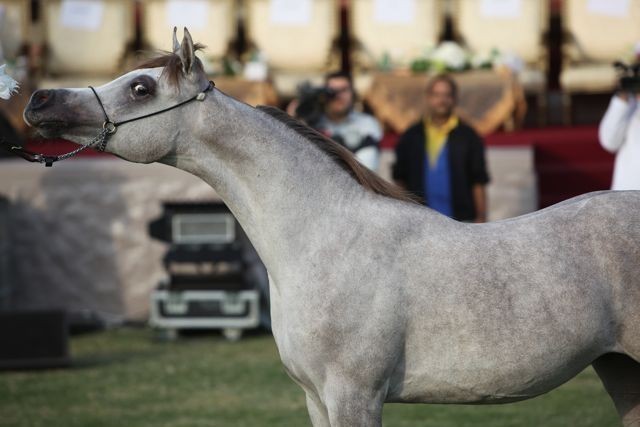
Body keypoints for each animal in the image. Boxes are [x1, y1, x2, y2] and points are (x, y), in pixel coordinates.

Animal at [23, 28, 640, 427]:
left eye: (142, 88)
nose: (39, 99)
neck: (324, 239)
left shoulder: (354, 395)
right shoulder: (317, 399)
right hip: (620, 372)